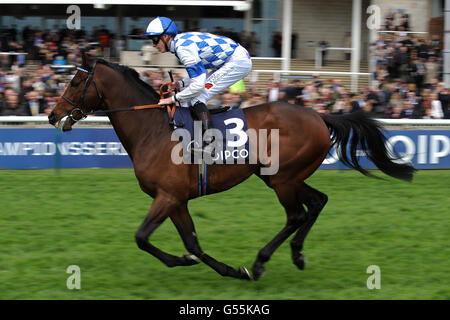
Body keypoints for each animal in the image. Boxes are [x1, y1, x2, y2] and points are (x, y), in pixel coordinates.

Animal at [48, 53, 414, 282]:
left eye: (75, 83)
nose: (53, 115)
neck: (153, 129)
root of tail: (319, 114)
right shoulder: (177, 199)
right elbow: (192, 243)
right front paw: (224, 269)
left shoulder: (167, 196)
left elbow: (142, 237)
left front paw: (193, 263)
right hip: (282, 176)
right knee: (317, 202)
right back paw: (296, 255)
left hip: (282, 178)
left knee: (297, 214)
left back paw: (261, 261)